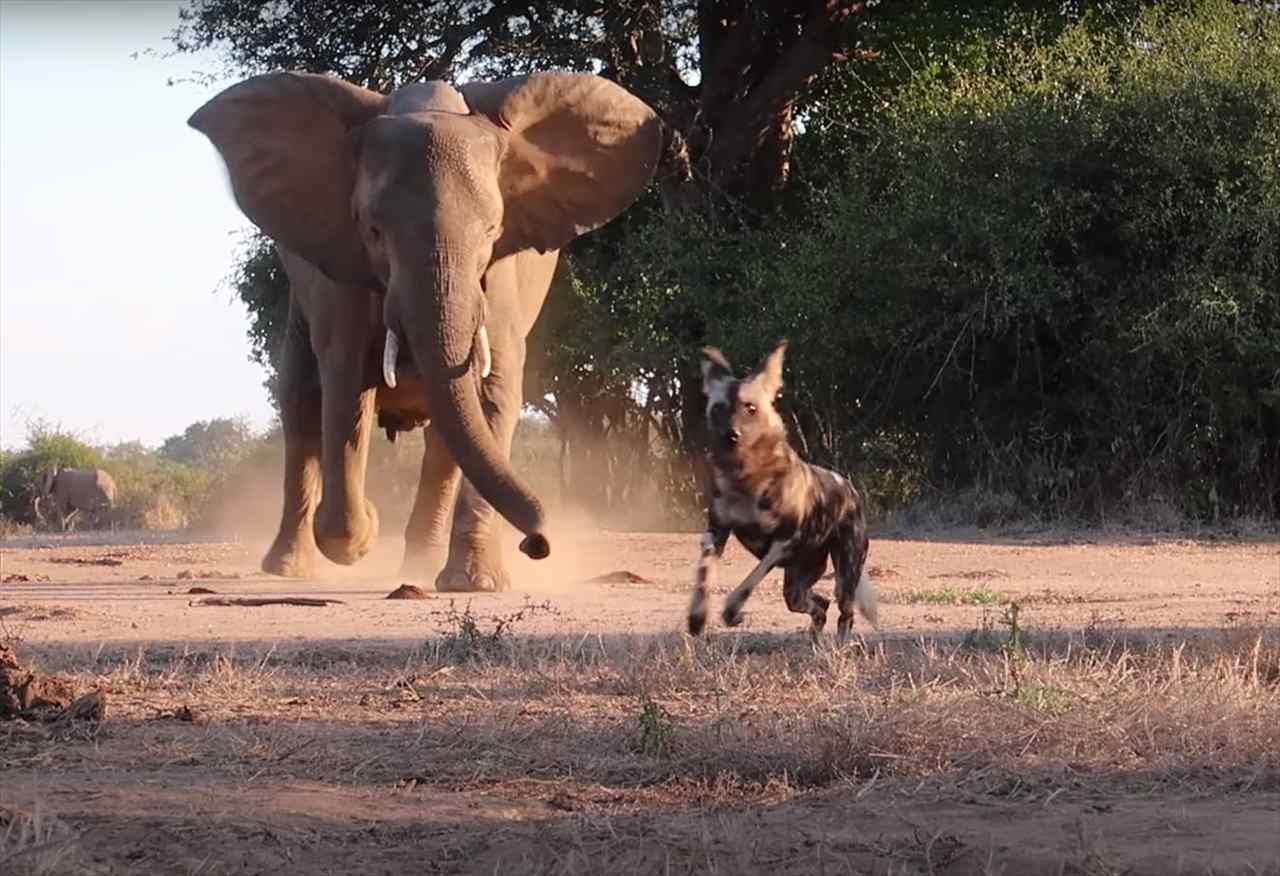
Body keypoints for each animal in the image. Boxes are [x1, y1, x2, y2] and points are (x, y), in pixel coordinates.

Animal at [197, 68, 670, 589]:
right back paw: (289, 568)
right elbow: (346, 389)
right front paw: (362, 533)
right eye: (373, 230)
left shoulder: (501, 283)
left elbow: (492, 392)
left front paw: (476, 584)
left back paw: (420, 569)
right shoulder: (340, 269)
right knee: (301, 397)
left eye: (492, 230)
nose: (537, 544)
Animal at [691, 338, 880, 640]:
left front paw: (732, 611)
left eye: (751, 408)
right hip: (796, 587)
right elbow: (703, 575)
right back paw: (815, 640)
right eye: (718, 408)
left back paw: (838, 646)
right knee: (819, 605)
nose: (731, 436)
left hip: (844, 575)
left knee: (845, 613)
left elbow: (750, 579)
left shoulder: (783, 542)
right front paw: (697, 618)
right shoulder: (715, 534)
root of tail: (850, 489)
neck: (746, 479)